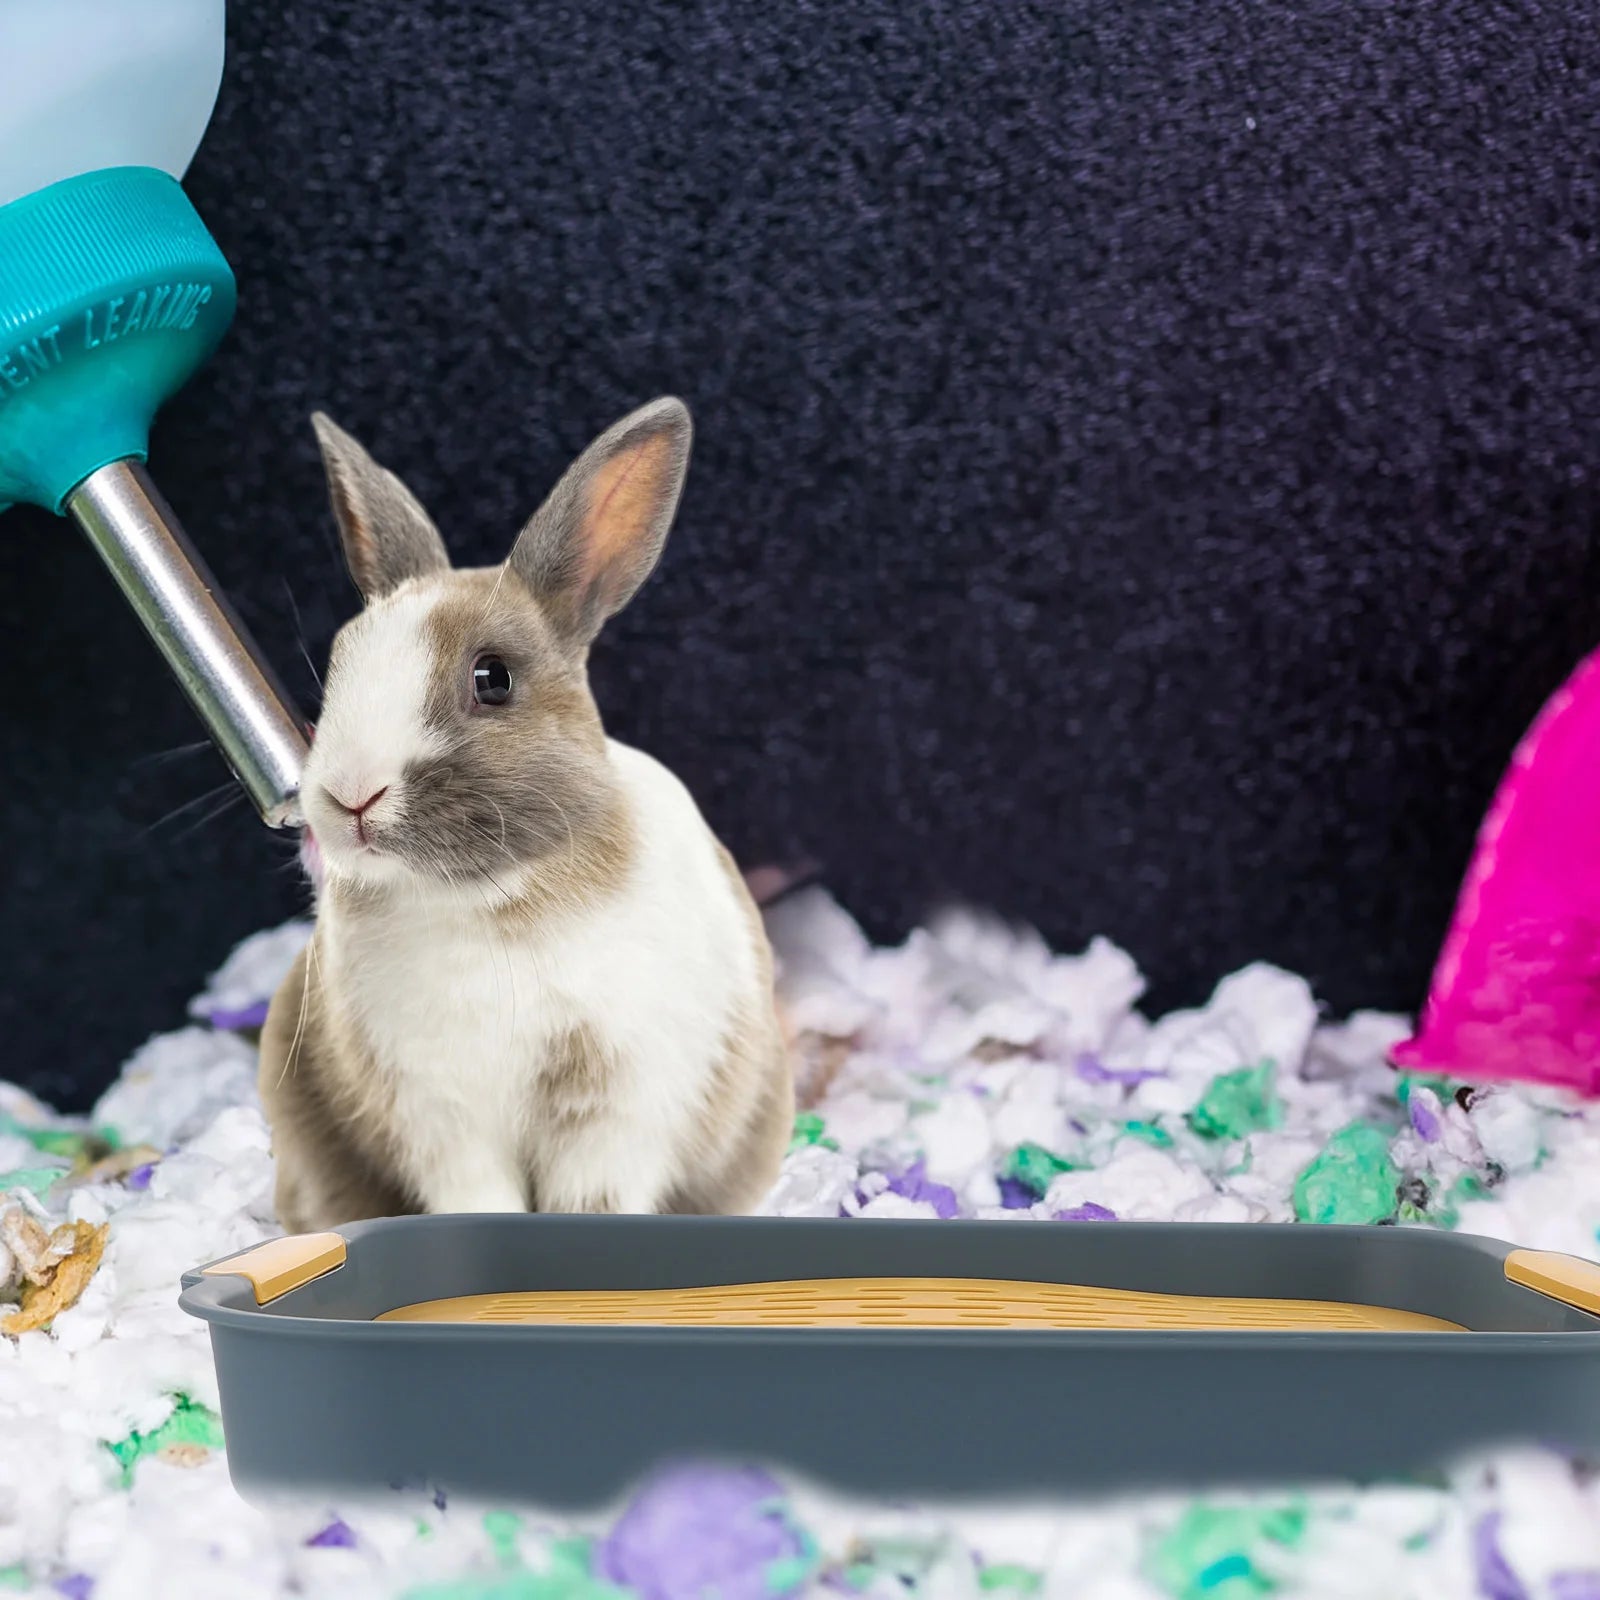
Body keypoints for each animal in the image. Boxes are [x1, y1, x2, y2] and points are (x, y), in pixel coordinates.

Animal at [257, 393, 800, 1228]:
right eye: (341, 660)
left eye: (493, 678)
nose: (350, 796)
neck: (488, 901)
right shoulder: (438, 1116)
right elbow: (477, 1199)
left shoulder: (619, 1104)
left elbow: (596, 1196)